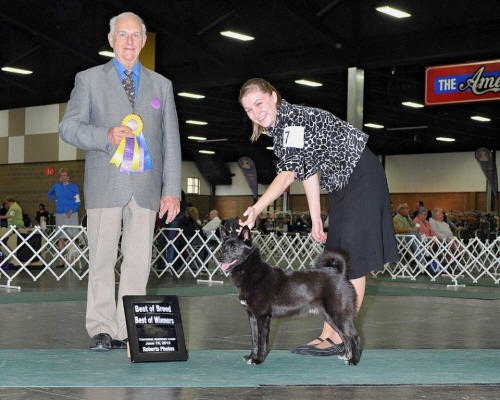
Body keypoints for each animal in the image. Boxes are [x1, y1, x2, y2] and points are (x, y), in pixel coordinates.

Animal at [219, 225, 360, 366]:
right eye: (223, 247)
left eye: (234, 248)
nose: (220, 258)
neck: (251, 271)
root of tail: (340, 273)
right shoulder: (252, 316)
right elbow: (254, 340)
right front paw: (251, 357)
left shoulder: (262, 317)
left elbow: (261, 341)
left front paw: (258, 360)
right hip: (330, 317)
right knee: (345, 337)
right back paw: (346, 356)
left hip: (338, 314)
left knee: (354, 336)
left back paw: (354, 360)